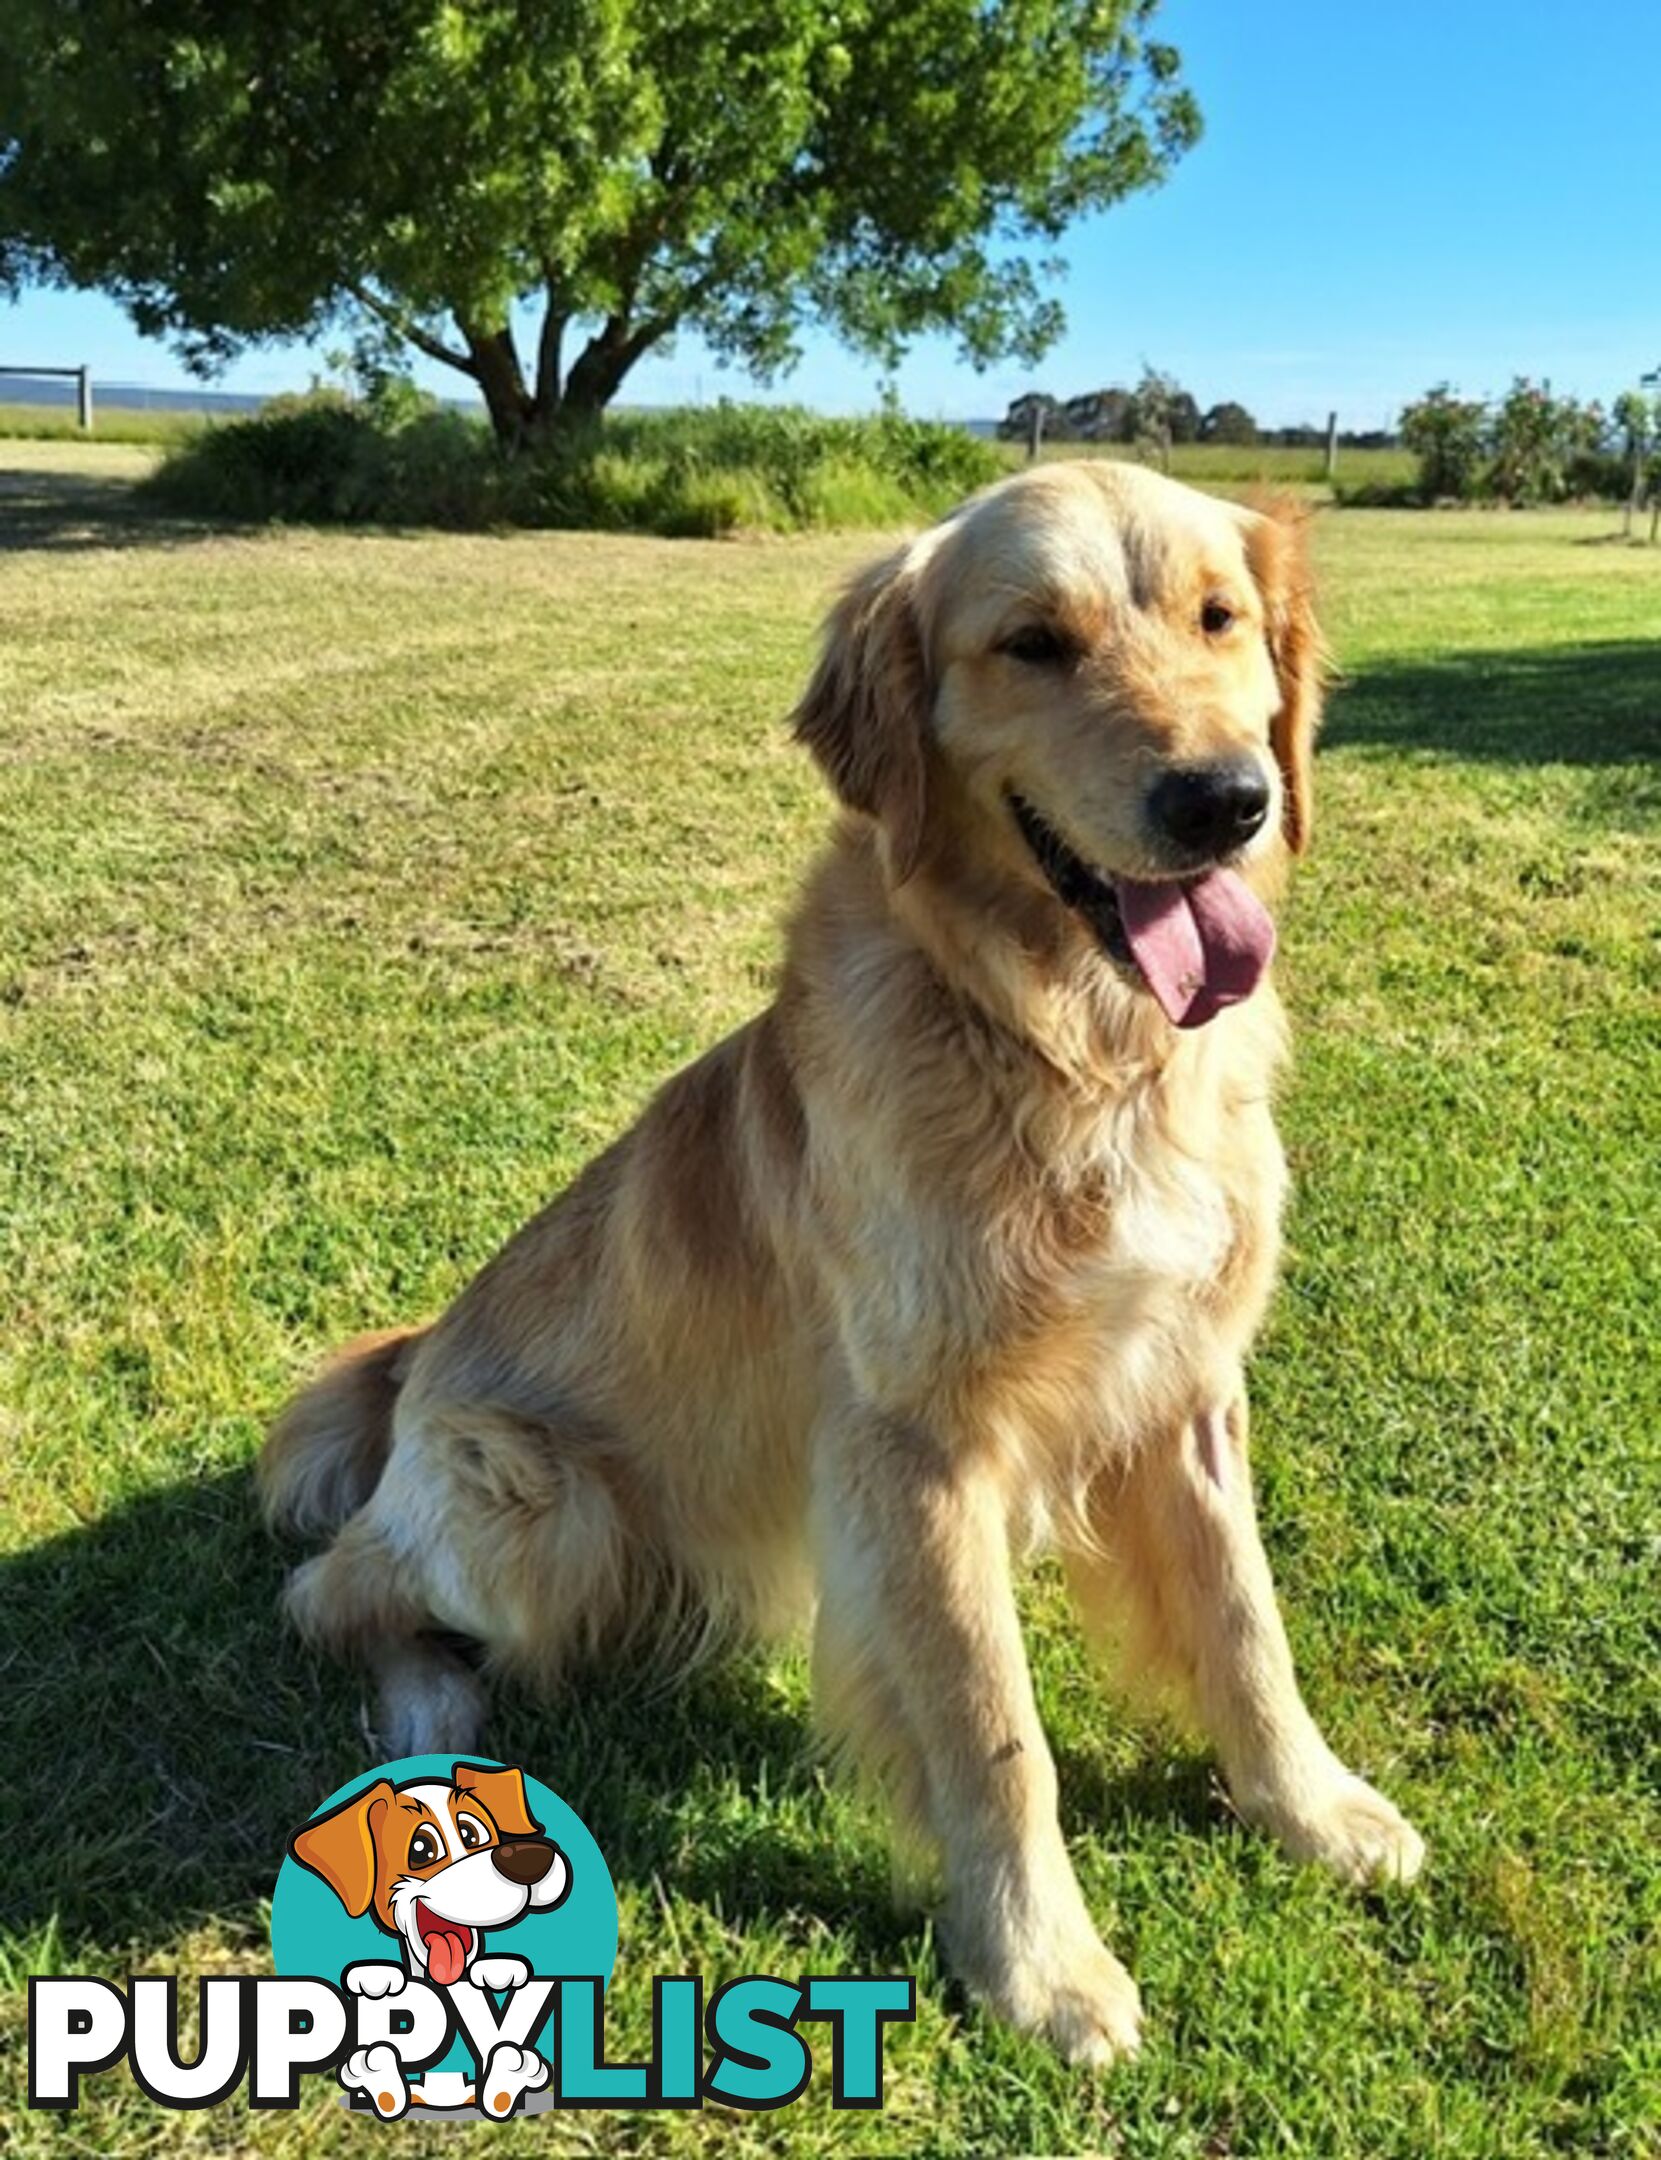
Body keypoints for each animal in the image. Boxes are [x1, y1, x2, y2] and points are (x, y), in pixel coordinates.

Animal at [265, 468, 1416, 2056]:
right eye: (1032, 643)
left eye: (1218, 617)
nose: (1226, 802)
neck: (1067, 1048)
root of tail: (413, 1366)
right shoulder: (915, 1448)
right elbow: (996, 1733)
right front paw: (1040, 1966)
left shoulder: (1187, 1385)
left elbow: (1247, 1629)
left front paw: (1309, 1809)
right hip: (539, 1512)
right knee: (330, 1589)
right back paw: (427, 1719)